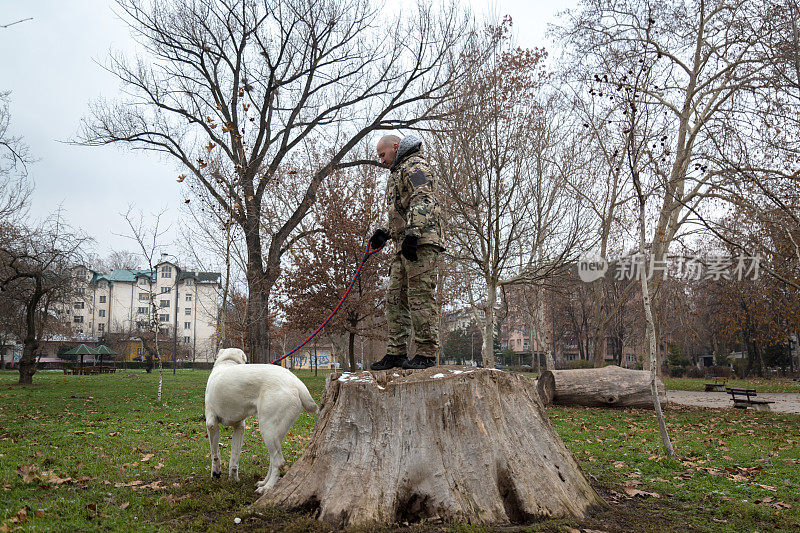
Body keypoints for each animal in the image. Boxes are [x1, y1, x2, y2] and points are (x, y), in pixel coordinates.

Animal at [203, 348, 318, 492]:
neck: (228, 361)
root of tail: (297, 383)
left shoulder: (211, 424)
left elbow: (215, 454)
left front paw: (216, 473)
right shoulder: (240, 428)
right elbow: (234, 458)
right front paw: (233, 479)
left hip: (267, 429)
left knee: (278, 461)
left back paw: (267, 488)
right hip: (275, 433)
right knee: (273, 460)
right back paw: (264, 483)